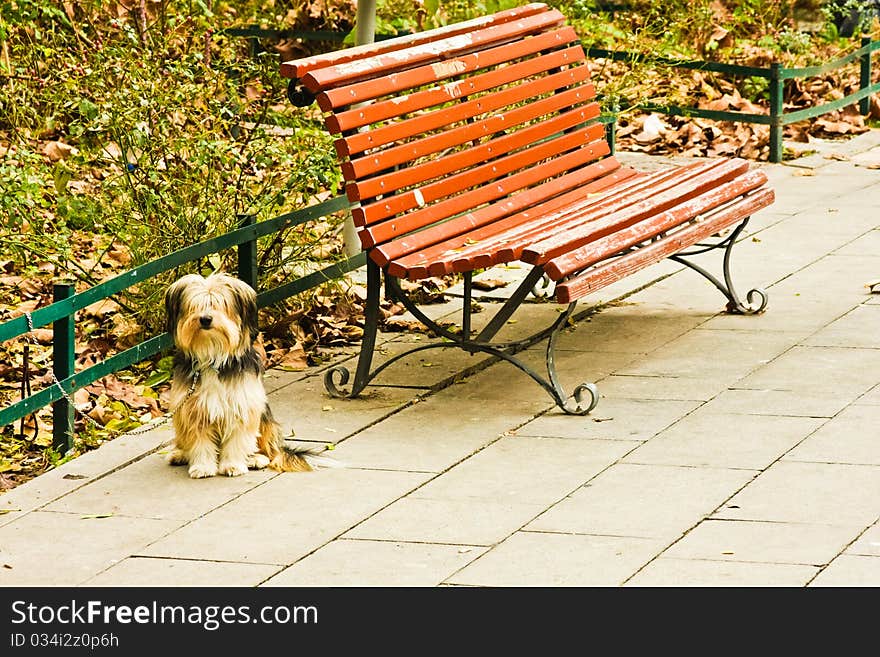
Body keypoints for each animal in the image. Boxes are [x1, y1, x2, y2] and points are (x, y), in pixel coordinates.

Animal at [164, 270, 330, 480]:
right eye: (195, 305)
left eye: (219, 304)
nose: (205, 319)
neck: (212, 356)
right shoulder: (194, 411)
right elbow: (200, 443)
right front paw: (202, 466)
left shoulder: (241, 407)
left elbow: (237, 441)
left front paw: (233, 465)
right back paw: (180, 454)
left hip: (265, 421)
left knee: (267, 450)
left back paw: (255, 458)